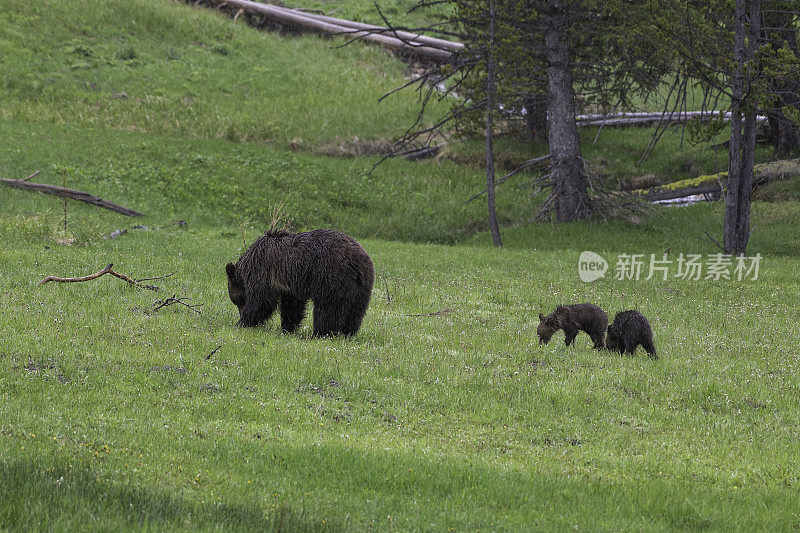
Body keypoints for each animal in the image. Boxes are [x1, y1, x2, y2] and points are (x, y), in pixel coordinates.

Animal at [225, 229, 376, 336]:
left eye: (239, 301)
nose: (240, 312)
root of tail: (356, 260)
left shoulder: (264, 270)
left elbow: (262, 300)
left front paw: (242, 322)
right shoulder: (291, 284)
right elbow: (292, 307)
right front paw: (287, 328)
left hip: (330, 277)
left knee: (328, 308)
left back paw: (321, 333)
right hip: (362, 285)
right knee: (356, 310)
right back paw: (348, 332)